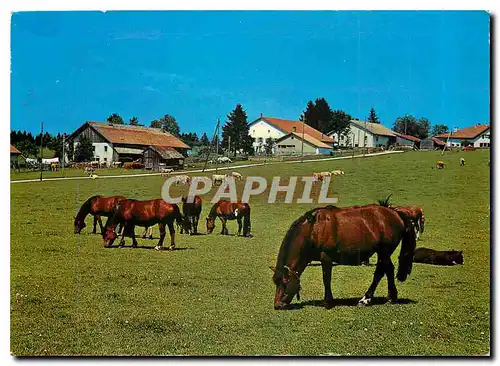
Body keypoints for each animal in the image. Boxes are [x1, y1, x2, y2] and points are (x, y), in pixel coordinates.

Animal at [272, 204, 416, 310]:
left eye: (284, 282)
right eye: (276, 282)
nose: (277, 305)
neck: (313, 229)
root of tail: (395, 213)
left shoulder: (326, 258)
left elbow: (326, 279)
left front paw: (328, 301)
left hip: (384, 252)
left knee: (387, 270)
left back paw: (386, 298)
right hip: (382, 253)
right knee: (381, 272)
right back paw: (369, 298)